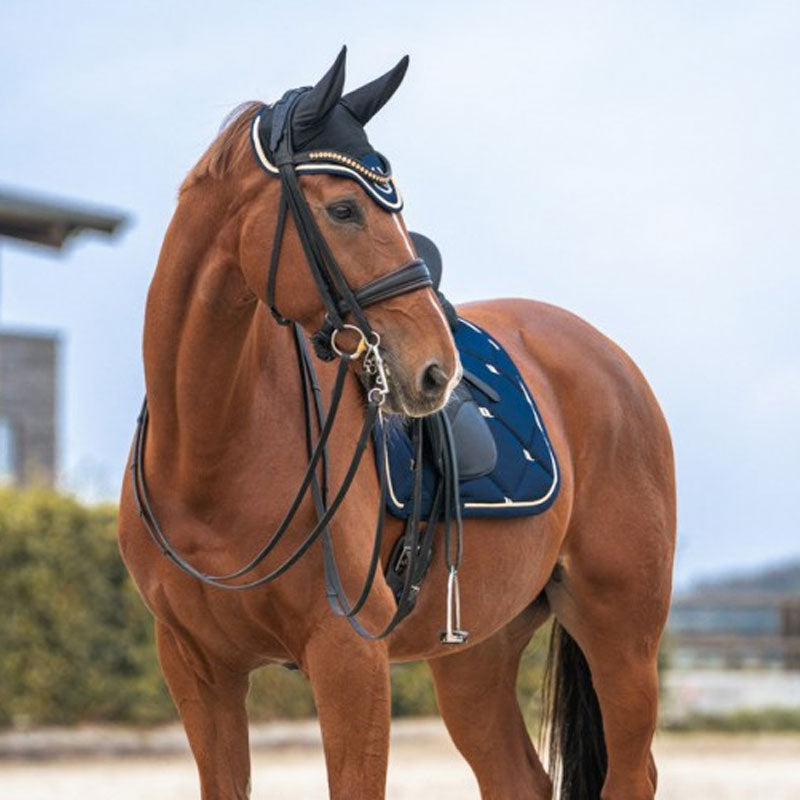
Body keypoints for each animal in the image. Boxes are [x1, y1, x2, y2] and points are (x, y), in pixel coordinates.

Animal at [119, 48, 675, 800]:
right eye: (344, 208)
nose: (437, 371)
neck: (209, 453)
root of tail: (611, 360)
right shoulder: (197, 669)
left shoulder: (348, 655)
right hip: (476, 654)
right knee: (518, 777)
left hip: (621, 634)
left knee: (632, 771)